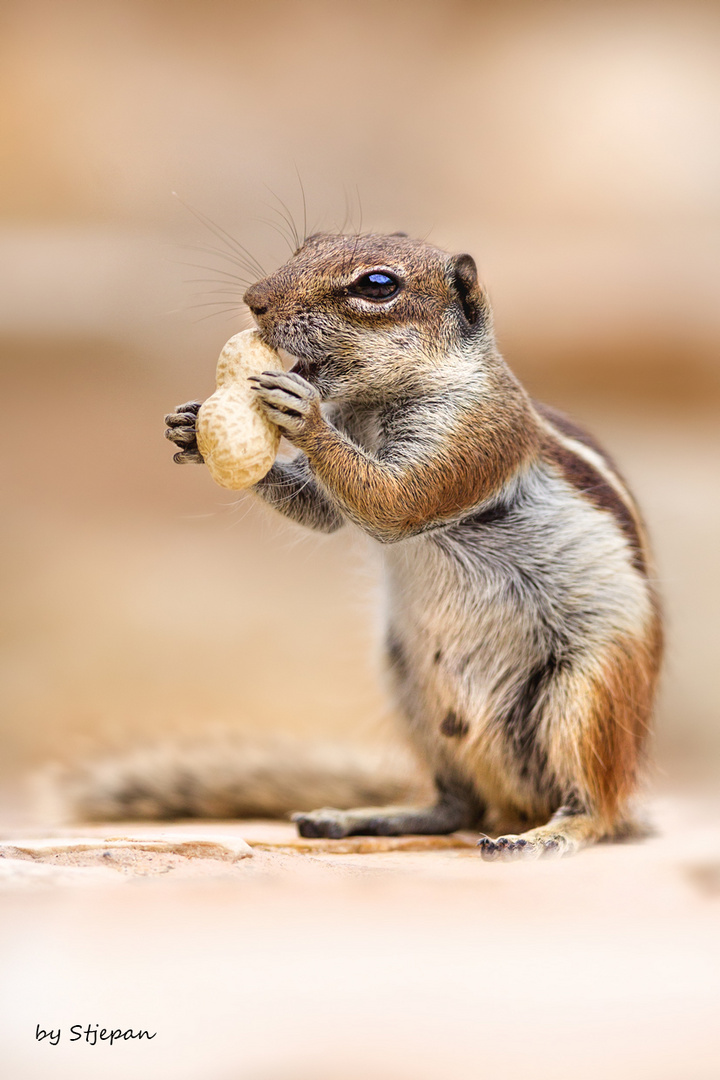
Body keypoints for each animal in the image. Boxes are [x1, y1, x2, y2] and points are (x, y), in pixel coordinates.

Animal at [162, 230, 664, 859]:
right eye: (308, 244)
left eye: (378, 285)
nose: (254, 300)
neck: (375, 405)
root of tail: (516, 801)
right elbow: (326, 511)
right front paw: (189, 428)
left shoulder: (473, 439)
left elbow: (395, 501)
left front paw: (302, 414)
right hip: (410, 686)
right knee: (455, 807)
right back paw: (365, 817)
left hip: (588, 695)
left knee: (597, 809)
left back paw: (545, 835)